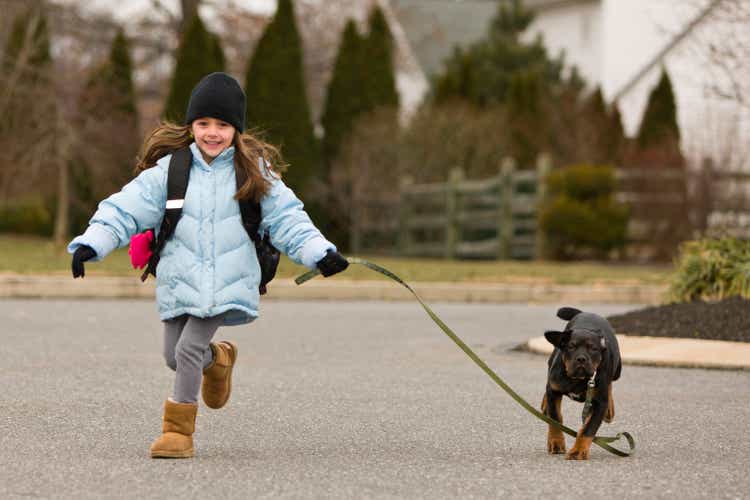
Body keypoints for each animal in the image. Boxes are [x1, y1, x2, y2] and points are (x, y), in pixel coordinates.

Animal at [540, 304, 624, 460]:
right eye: (571, 347)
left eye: (593, 348)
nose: (581, 359)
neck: (578, 379)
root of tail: (586, 312)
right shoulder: (554, 389)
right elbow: (555, 418)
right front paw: (556, 442)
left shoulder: (599, 404)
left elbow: (588, 429)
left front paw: (578, 451)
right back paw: (544, 404)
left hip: (617, 371)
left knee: (610, 384)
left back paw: (610, 411)